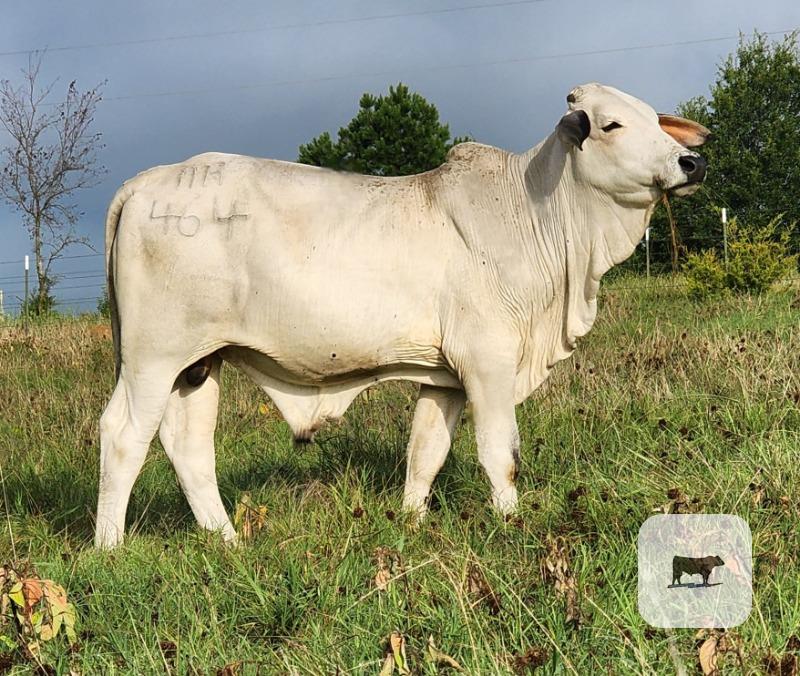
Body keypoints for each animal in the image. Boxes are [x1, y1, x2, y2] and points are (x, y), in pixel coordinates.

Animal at [95, 83, 709, 548]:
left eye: (655, 119)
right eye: (611, 125)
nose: (692, 161)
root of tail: (145, 182)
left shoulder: (444, 377)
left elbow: (425, 452)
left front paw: (411, 523)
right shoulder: (489, 362)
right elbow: (500, 452)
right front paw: (512, 522)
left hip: (199, 363)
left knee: (188, 443)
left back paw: (226, 539)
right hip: (152, 358)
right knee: (124, 435)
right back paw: (110, 547)